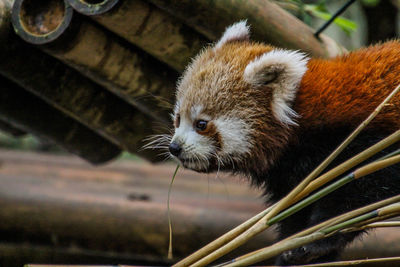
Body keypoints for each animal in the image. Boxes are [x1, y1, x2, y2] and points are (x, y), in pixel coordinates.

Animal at [164, 22, 398, 264]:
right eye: (178, 118)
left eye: (201, 124)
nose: (175, 147)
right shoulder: (291, 174)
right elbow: (294, 212)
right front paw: (292, 253)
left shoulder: (362, 140)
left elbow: (356, 195)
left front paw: (315, 243)